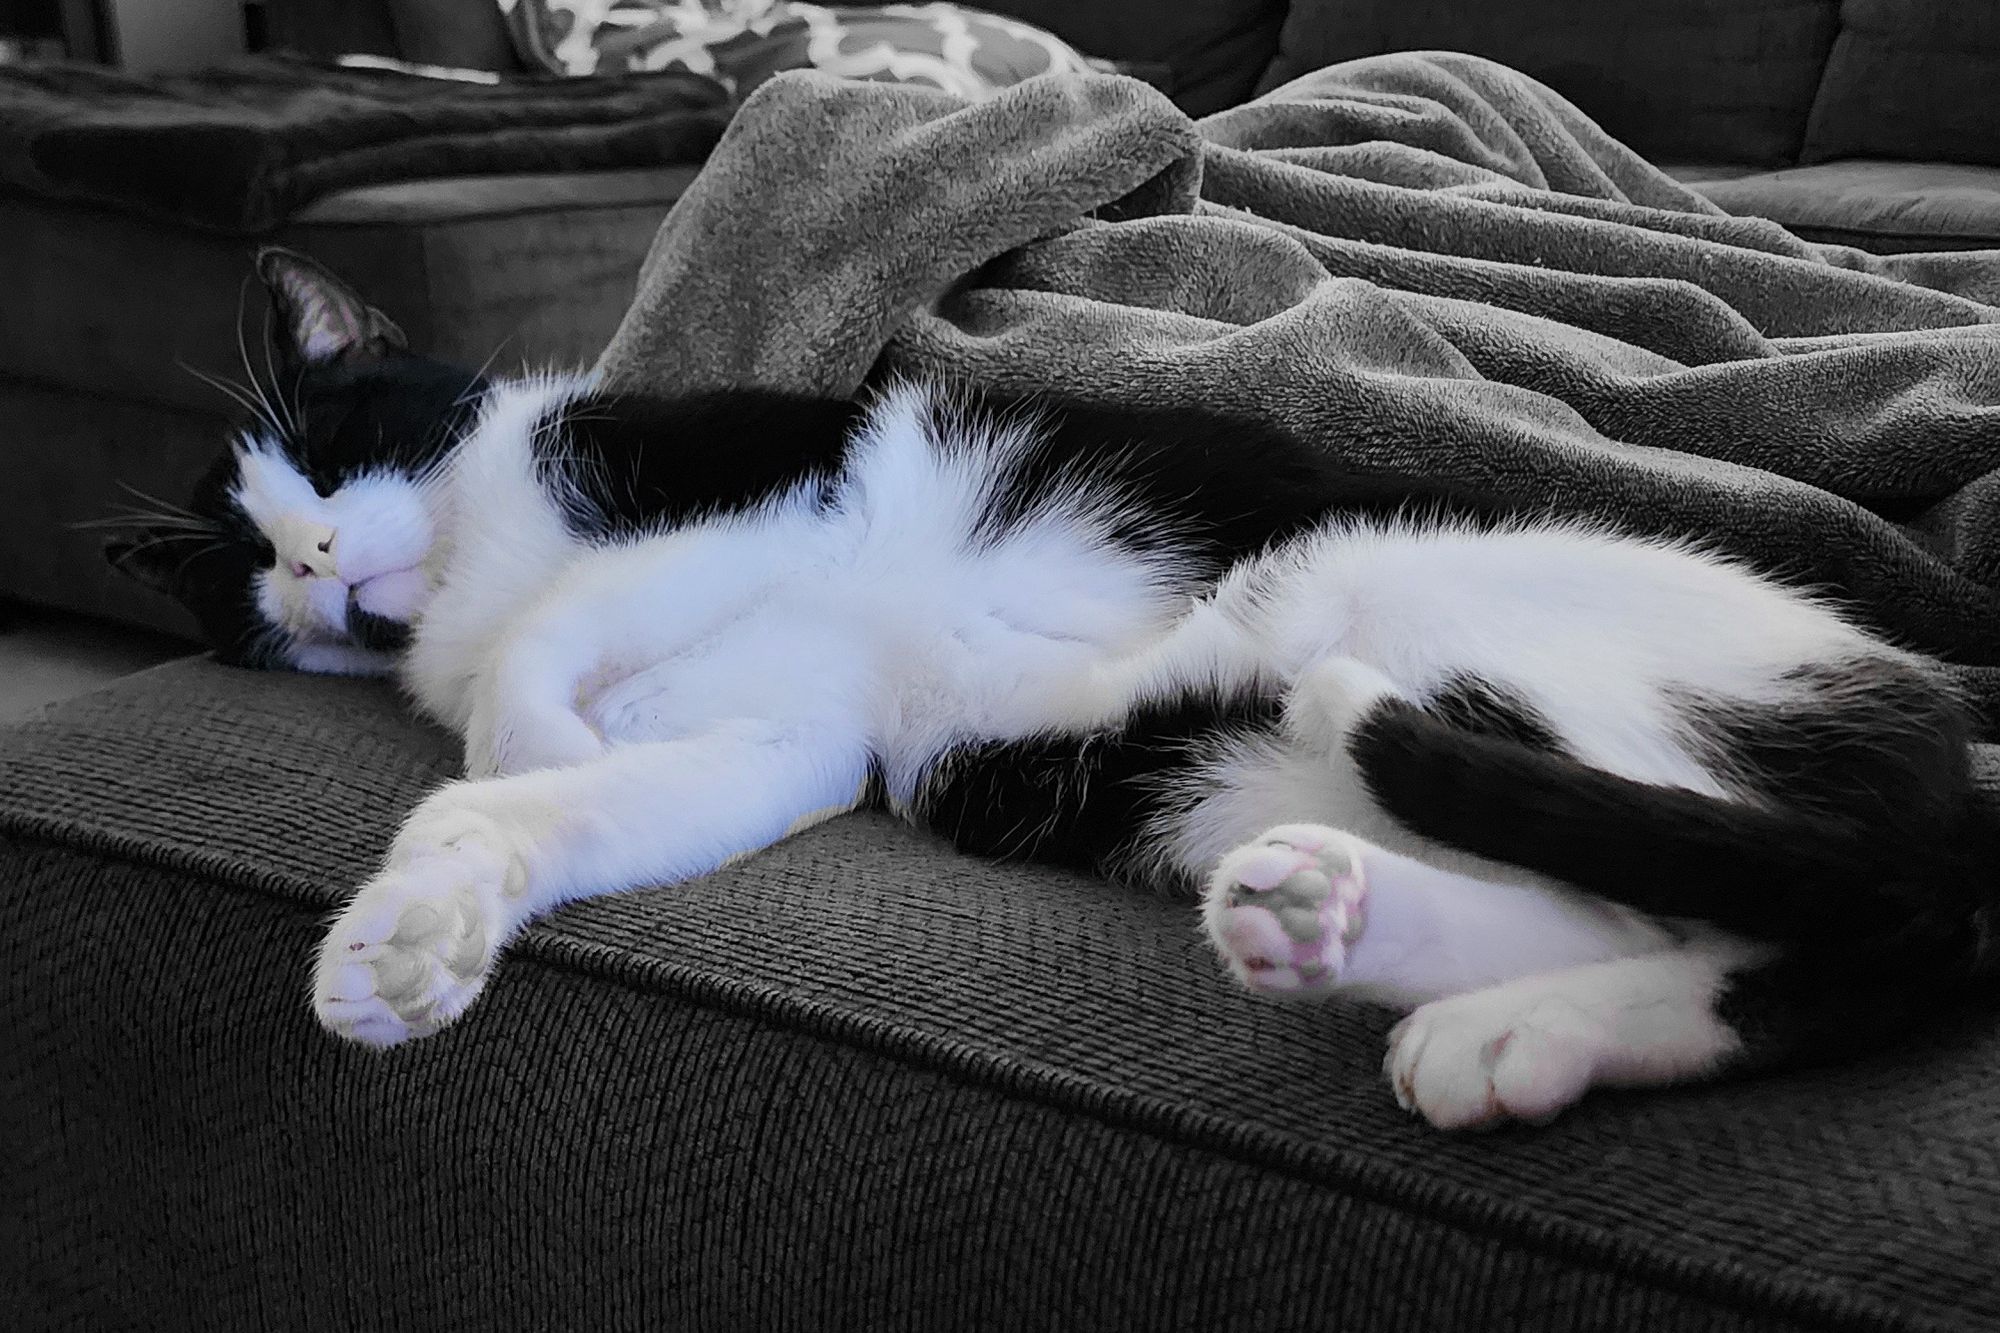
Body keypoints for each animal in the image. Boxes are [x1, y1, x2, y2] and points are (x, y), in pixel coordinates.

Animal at [113, 249, 2000, 1120]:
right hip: (1242, 776)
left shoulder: (773, 486)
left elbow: (546, 650)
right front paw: (419, 932)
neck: (480, 556)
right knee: (1701, 933)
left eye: (328, 452)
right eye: (244, 571)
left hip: (1412, 594)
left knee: (1856, 920)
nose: (312, 562)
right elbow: (560, 799)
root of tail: (1949, 749)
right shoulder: (792, 737)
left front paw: (533, 717)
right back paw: (1426, 979)